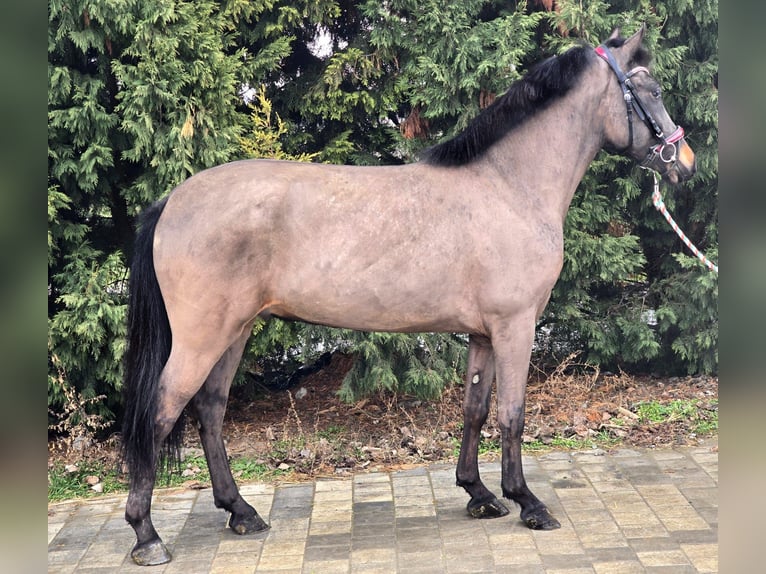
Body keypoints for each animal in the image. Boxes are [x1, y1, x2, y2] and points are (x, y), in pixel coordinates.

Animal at [121, 28, 696, 568]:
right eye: (653, 90)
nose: (685, 162)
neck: (508, 187)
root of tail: (173, 200)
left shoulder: (483, 333)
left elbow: (475, 410)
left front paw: (479, 494)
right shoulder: (515, 326)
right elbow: (511, 413)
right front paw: (527, 502)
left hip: (235, 331)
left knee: (210, 409)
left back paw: (240, 511)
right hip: (202, 336)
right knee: (161, 411)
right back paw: (147, 535)